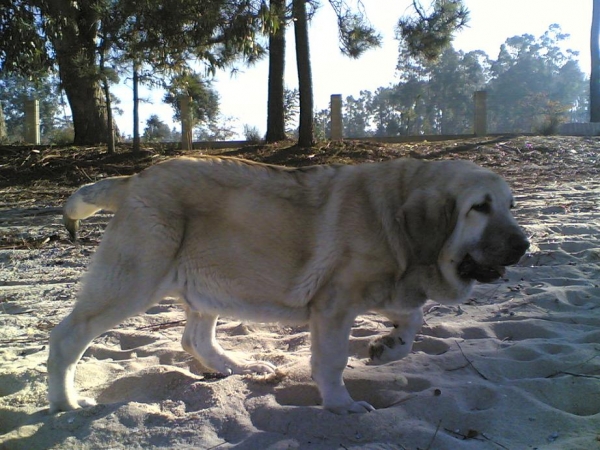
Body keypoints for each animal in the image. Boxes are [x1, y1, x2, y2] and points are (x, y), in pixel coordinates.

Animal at [47, 156, 528, 414]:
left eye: (509, 205)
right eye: (480, 208)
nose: (524, 245)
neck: (393, 216)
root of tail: (134, 178)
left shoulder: (389, 289)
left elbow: (413, 320)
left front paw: (387, 348)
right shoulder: (334, 305)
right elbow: (332, 361)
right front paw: (341, 404)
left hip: (209, 282)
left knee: (194, 339)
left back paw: (236, 368)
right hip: (133, 281)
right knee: (67, 335)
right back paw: (66, 403)